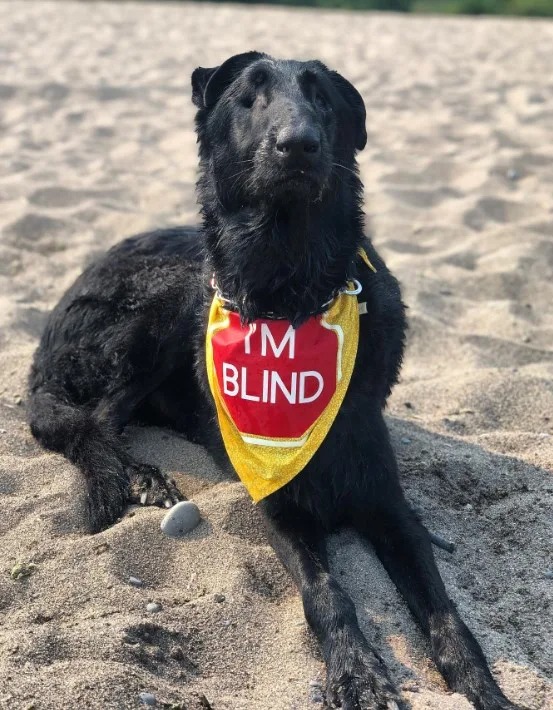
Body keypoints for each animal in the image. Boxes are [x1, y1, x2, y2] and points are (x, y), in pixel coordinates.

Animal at [29, 52, 520, 710]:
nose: (299, 144)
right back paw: (142, 476)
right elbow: (328, 597)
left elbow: (446, 613)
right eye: (249, 96)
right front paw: (359, 674)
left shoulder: (392, 510)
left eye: (324, 101)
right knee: (99, 418)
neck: (292, 295)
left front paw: (481, 687)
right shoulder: (282, 510)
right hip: (160, 305)